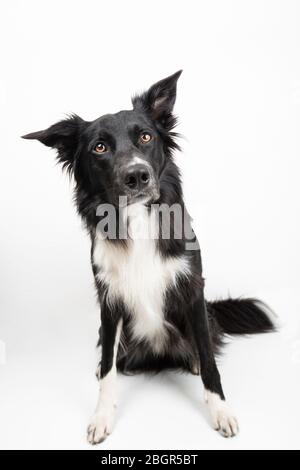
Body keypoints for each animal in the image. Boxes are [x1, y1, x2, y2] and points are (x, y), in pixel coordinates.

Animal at [22, 71, 276, 446]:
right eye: (99, 147)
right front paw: (102, 416)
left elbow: (209, 361)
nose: (137, 175)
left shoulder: (192, 287)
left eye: (145, 136)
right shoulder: (109, 299)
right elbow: (108, 368)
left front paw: (220, 410)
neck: (138, 218)